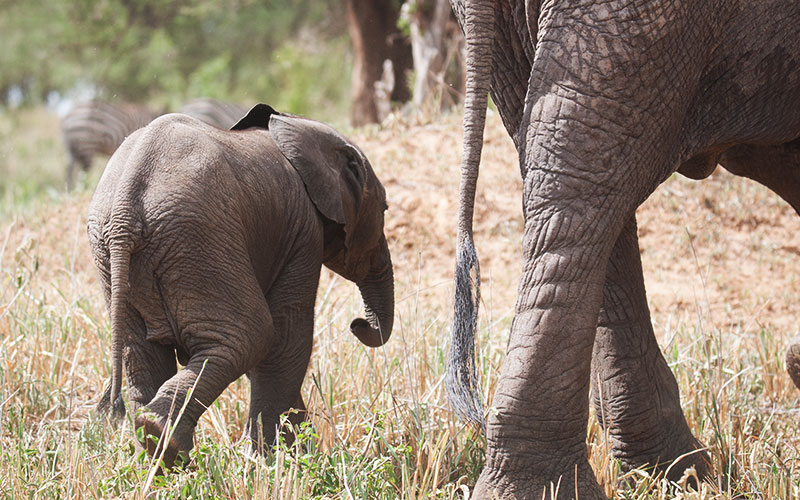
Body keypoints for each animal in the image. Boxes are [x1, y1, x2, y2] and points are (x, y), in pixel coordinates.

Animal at [89, 103, 396, 466]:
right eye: (385, 209)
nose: (357, 324)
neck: (299, 128)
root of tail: (125, 207)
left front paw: (291, 454)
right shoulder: (302, 231)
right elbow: (285, 337)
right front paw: (278, 461)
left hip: (119, 261)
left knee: (141, 354)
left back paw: (157, 455)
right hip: (200, 240)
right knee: (250, 335)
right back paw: (164, 441)